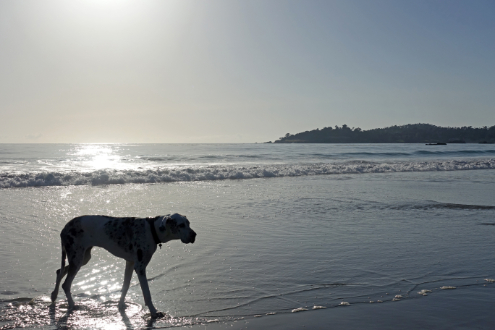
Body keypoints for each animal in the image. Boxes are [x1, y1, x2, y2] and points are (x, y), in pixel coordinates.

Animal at [50, 213, 197, 318]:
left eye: (188, 223)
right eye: (181, 225)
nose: (194, 235)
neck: (152, 230)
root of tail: (65, 227)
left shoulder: (130, 263)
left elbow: (125, 286)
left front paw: (121, 305)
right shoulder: (140, 267)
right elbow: (147, 293)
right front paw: (154, 312)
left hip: (83, 258)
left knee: (59, 271)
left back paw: (54, 296)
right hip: (77, 259)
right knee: (66, 284)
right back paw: (72, 305)